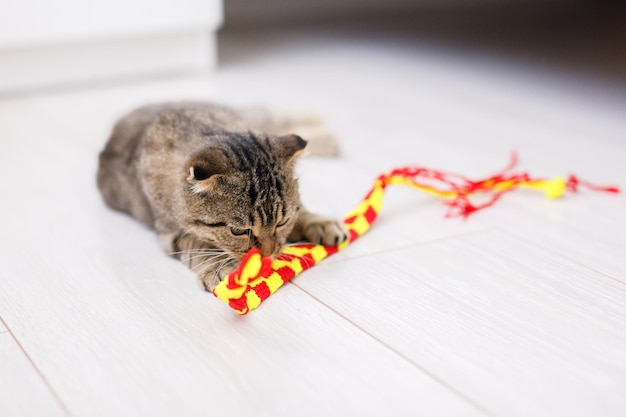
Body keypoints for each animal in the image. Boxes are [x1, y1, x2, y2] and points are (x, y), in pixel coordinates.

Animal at [97, 101, 346, 290]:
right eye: (238, 231)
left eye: (282, 222)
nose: (267, 255)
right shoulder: (170, 233)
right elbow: (202, 246)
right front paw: (221, 268)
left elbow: (301, 210)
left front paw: (319, 222)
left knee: (271, 115)